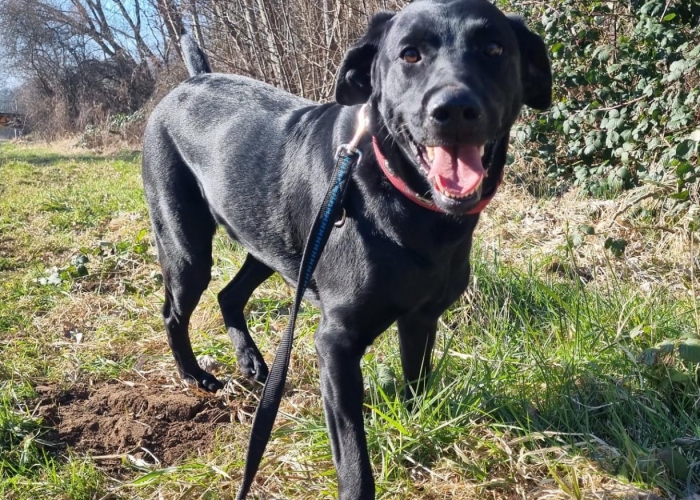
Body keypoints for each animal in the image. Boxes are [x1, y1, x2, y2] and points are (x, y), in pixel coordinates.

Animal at [141, 1, 548, 498]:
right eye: (409, 54)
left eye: (494, 49)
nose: (454, 109)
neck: (409, 203)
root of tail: (192, 80)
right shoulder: (336, 346)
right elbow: (354, 461)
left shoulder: (421, 318)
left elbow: (417, 381)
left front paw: (413, 425)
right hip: (187, 247)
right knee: (174, 311)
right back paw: (194, 375)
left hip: (275, 244)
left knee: (229, 295)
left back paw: (251, 361)